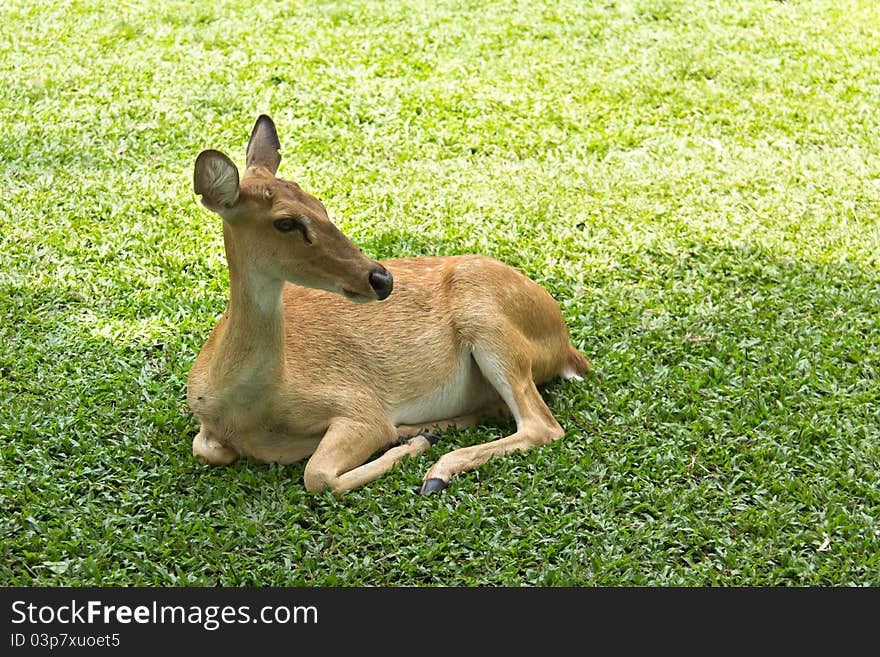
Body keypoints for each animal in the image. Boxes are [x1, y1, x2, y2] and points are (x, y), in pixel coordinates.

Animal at [187, 114, 592, 492]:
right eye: (285, 222)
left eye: (320, 204)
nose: (381, 278)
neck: (250, 411)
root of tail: (566, 345)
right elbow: (204, 449)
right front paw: (412, 438)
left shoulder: (358, 406)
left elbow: (317, 475)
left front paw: (409, 446)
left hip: (489, 320)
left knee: (541, 425)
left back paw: (434, 468)